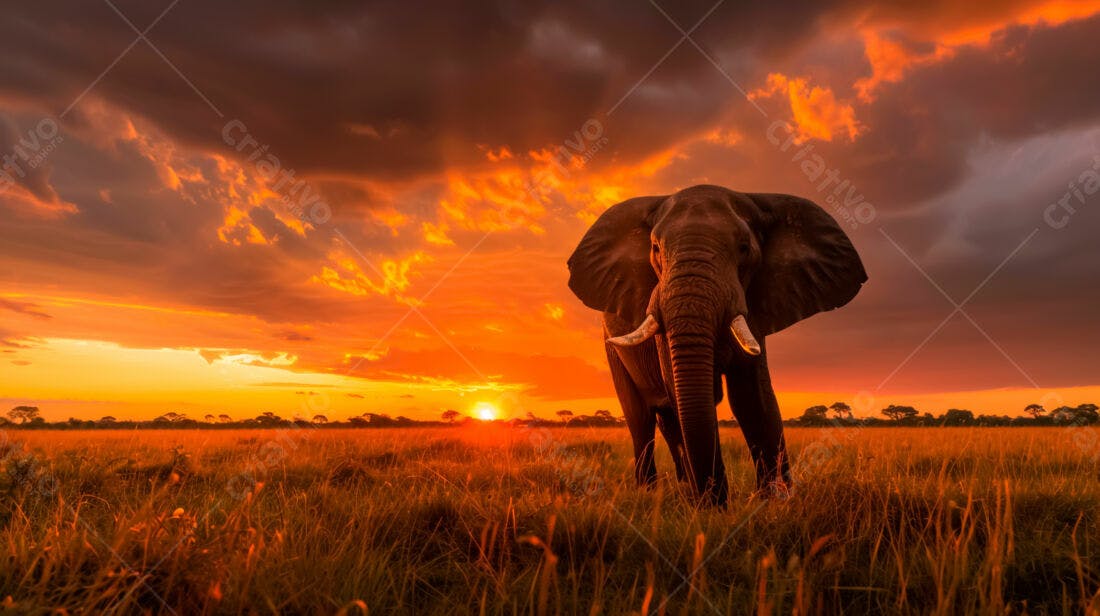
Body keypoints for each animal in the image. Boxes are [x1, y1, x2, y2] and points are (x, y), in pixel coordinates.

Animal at [567, 185, 866, 506]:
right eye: (656, 249)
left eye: (744, 248)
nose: (716, 498)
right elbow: (685, 392)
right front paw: (712, 505)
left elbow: (752, 397)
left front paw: (774, 502)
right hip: (612, 348)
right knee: (641, 418)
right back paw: (653, 492)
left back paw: (683, 488)